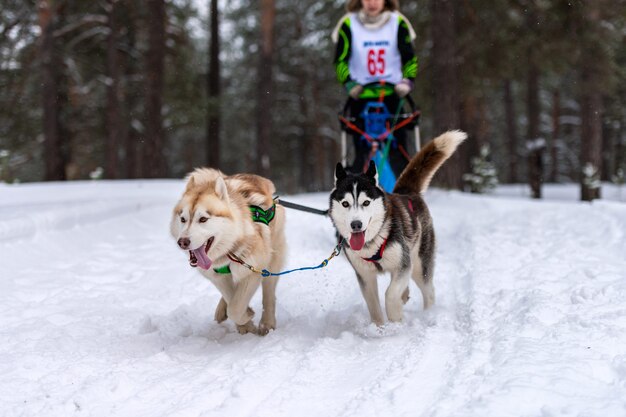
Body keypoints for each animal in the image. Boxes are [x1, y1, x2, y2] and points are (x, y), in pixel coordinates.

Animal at [172, 167, 286, 334]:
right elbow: (230, 297)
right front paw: (245, 323)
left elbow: (235, 308)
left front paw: (246, 317)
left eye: (203, 219)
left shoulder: (253, 270)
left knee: (269, 293)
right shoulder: (216, 276)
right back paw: (222, 310)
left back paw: (267, 322)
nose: (183, 242)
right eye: (183, 219)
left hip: (272, 260)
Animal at [326, 130, 464, 324]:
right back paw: (405, 296)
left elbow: (390, 294)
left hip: (419, 264)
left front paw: (395, 318)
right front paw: (380, 327)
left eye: (366, 202)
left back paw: (428, 313)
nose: (356, 224)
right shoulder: (365, 276)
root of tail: (406, 192)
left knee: (429, 291)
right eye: (345, 204)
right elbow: (374, 307)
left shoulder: (402, 265)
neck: (373, 243)